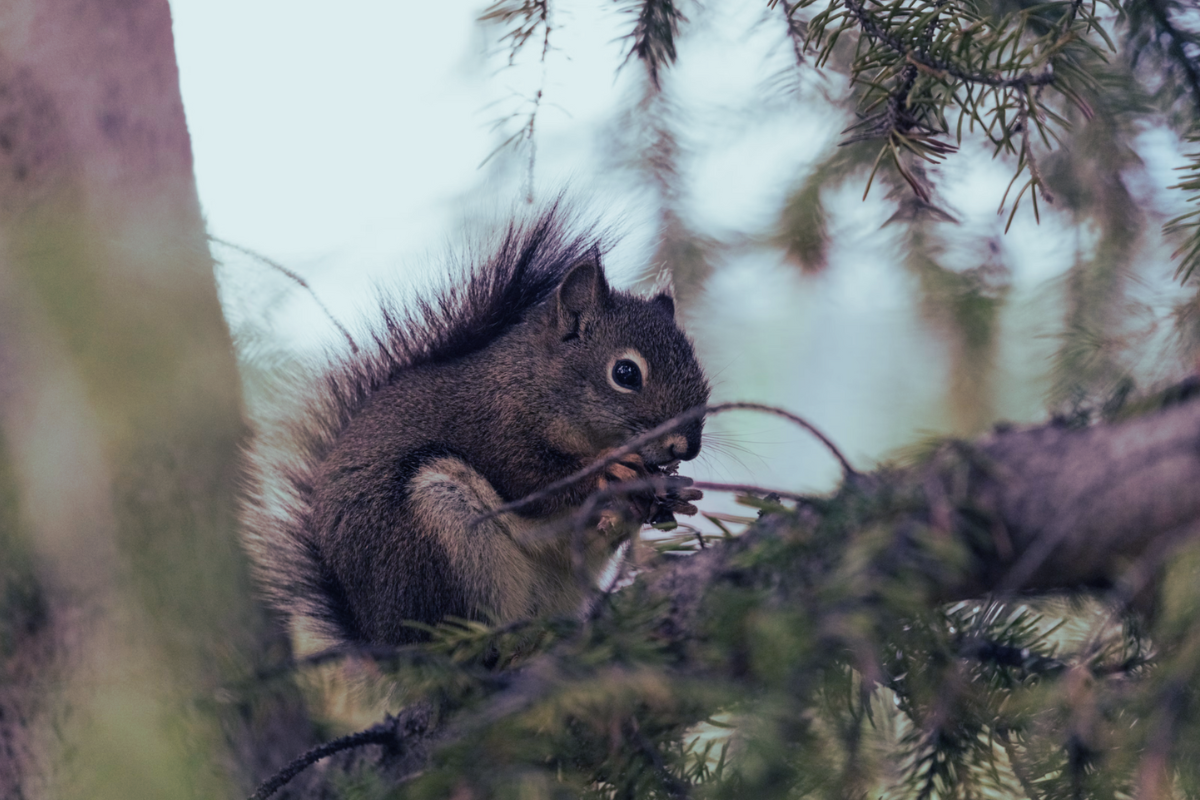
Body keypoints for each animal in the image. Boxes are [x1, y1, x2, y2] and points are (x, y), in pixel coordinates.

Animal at [242, 208, 705, 657]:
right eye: (625, 373)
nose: (687, 446)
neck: (532, 383)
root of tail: (382, 643)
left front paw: (673, 494)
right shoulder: (493, 431)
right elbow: (531, 481)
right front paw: (610, 470)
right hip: (439, 540)